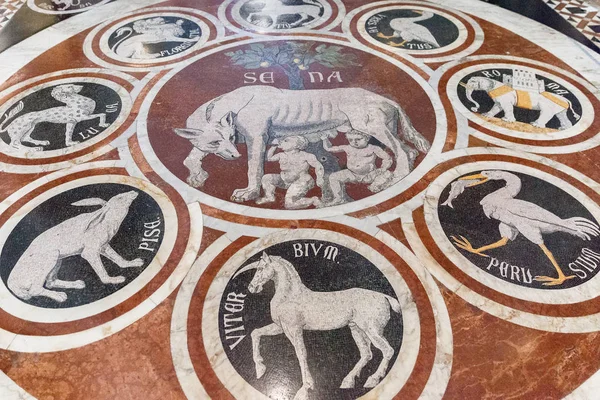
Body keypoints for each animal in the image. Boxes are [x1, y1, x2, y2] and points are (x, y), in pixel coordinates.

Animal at [175, 85, 432, 202]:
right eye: (214, 142)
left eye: (228, 138)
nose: (234, 156)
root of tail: (386, 98)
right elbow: (190, 157)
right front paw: (197, 176)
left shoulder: (256, 139)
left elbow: (253, 168)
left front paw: (248, 192)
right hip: (384, 129)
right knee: (408, 151)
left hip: (372, 127)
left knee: (401, 151)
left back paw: (392, 180)